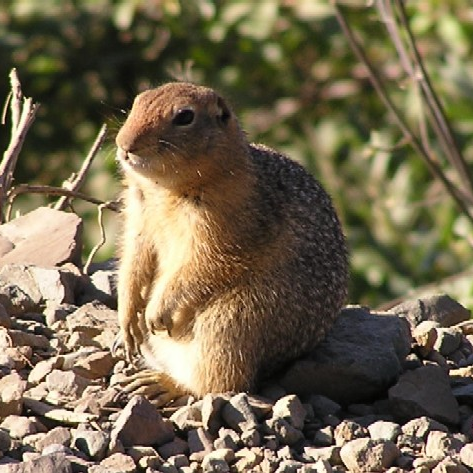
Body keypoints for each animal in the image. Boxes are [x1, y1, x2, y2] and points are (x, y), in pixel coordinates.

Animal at [115, 81, 346, 402]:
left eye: (184, 116)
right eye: (137, 102)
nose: (124, 144)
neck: (165, 190)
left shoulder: (223, 231)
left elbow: (201, 267)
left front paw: (156, 313)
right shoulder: (139, 217)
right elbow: (132, 261)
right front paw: (126, 318)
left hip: (229, 324)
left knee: (220, 384)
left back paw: (163, 383)